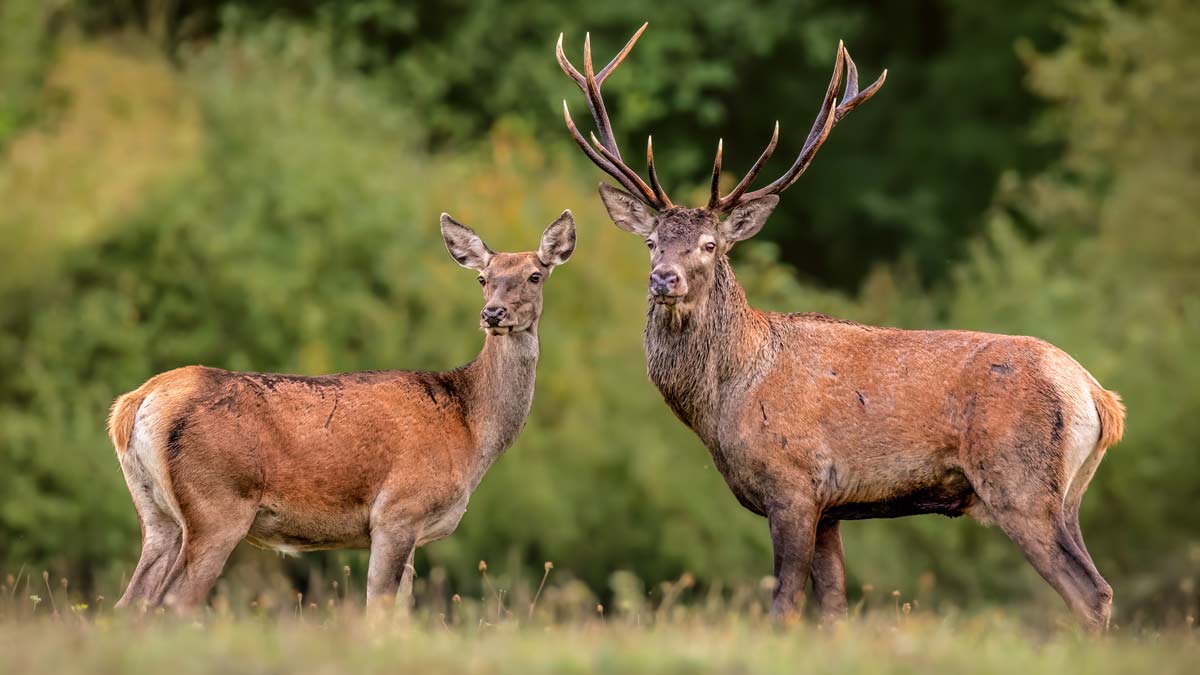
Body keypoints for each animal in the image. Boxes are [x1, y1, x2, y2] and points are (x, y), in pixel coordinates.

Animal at [105, 211, 573, 610]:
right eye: (482, 278)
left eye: (534, 275)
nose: (493, 313)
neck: (470, 430)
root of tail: (134, 404)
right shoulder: (398, 510)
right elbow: (378, 610)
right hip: (217, 505)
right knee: (169, 603)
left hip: (155, 513)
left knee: (129, 603)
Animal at [559, 22, 1123, 629]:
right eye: (651, 242)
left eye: (709, 245)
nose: (664, 278)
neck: (725, 400)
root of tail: (1096, 395)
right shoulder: (832, 508)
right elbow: (833, 610)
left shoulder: (793, 485)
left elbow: (784, 603)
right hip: (1069, 494)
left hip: (1020, 481)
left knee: (1089, 590)